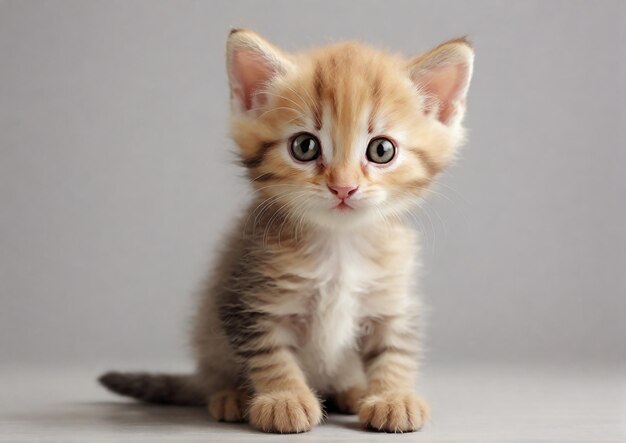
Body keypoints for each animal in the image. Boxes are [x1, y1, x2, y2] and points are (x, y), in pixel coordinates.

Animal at [100, 29, 472, 436]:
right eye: (304, 146)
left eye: (381, 150)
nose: (344, 188)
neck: (339, 246)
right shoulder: (254, 298)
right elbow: (270, 354)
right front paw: (285, 399)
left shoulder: (390, 300)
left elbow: (395, 349)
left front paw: (392, 396)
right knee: (216, 375)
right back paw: (230, 395)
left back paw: (352, 391)